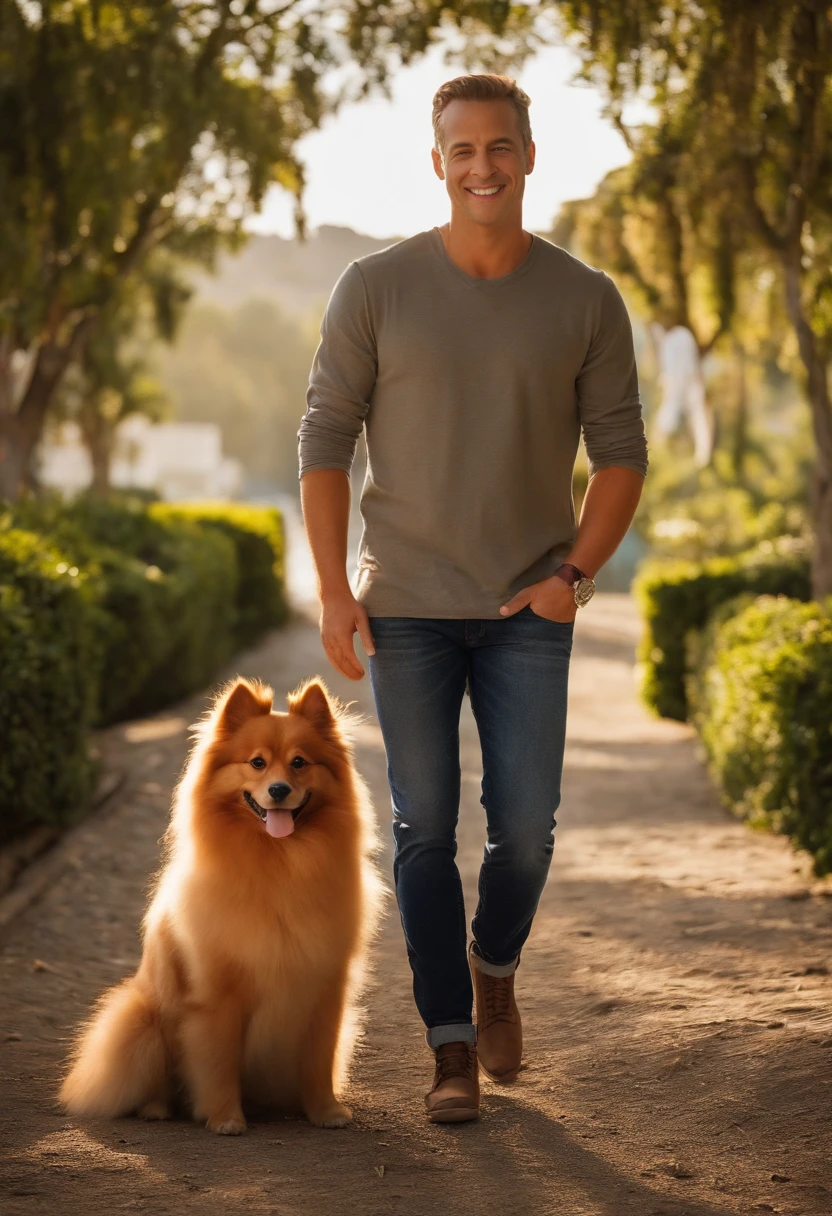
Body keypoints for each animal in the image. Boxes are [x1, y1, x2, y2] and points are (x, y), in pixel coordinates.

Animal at [59, 676, 384, 1128]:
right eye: (257, 763)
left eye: (300, 763)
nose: (279, 789)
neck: (279, 862)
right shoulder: (219, 995)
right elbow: (218, 1062)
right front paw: (226, 1119)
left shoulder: (325, 991)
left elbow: (319, 1060)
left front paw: (326, 1111)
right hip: (142, 1019)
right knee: (154, 1077)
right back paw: (157, 1109)